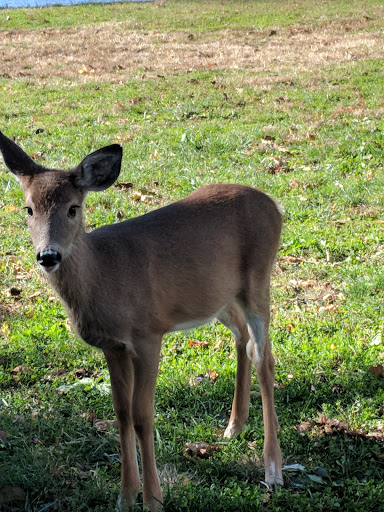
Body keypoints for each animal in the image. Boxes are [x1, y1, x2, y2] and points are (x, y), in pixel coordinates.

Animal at [0, 132, 282, 512]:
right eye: (28, 209)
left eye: (73, 208)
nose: (48, 255)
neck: (104, 275)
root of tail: (274, 205)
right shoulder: (113, 346)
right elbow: (121, 413)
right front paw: (124, 495)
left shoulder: (148, 334)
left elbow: (142, 415)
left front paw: (153, 499)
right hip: (218, 296)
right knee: (245, 341)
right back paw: (233, 427)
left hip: (258, 278)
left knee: (265, 357)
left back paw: (273, 470)